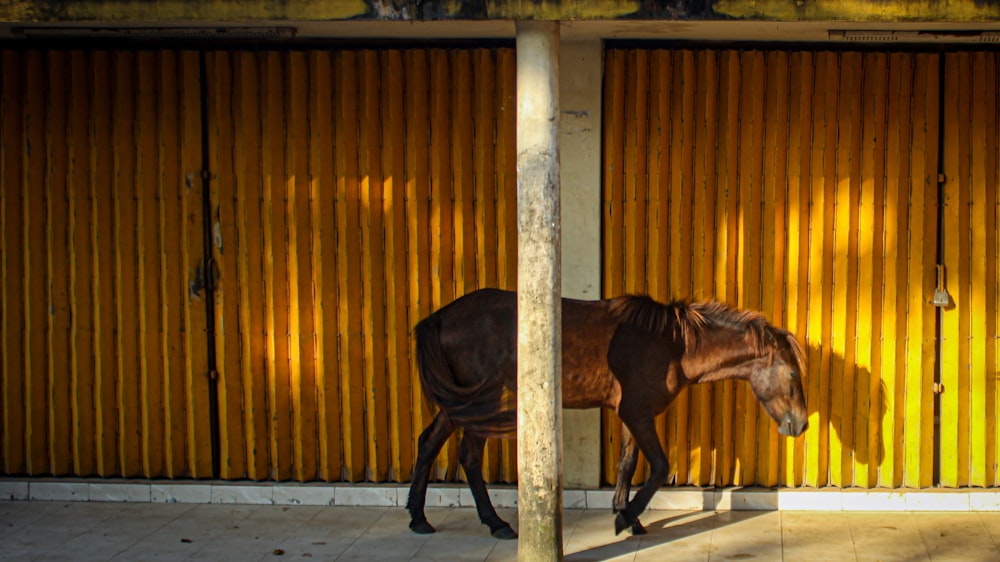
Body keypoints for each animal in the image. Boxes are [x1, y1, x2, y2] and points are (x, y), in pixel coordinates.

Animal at [404, 288, 804, 540]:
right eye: (791, 374)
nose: (800, 424)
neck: (672, 345)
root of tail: (441, 317)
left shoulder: (632, 415)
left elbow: (627, 465)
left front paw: (627, 517)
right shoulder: (638, 413)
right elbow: (659, 467)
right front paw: (625, 518)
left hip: (458, 403)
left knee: (427, 443)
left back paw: (418, 517)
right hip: (478, 403)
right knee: (469, 457)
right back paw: (496, 523)